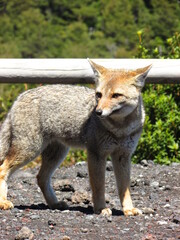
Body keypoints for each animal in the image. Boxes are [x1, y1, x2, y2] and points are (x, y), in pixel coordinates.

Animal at [0, 59, 151, 216]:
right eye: (99, 95)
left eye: (116, 95)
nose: (97, 112)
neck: (119, 130)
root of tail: (20, 97)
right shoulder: (96, 154)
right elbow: (99, 186)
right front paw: (100, 208)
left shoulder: (123, 156)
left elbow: (124, 188)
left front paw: (128, 209)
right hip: (29, 150)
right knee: (2, 170)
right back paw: (3, 202)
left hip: (56, 154)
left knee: (41, 178)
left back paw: (54, 203)